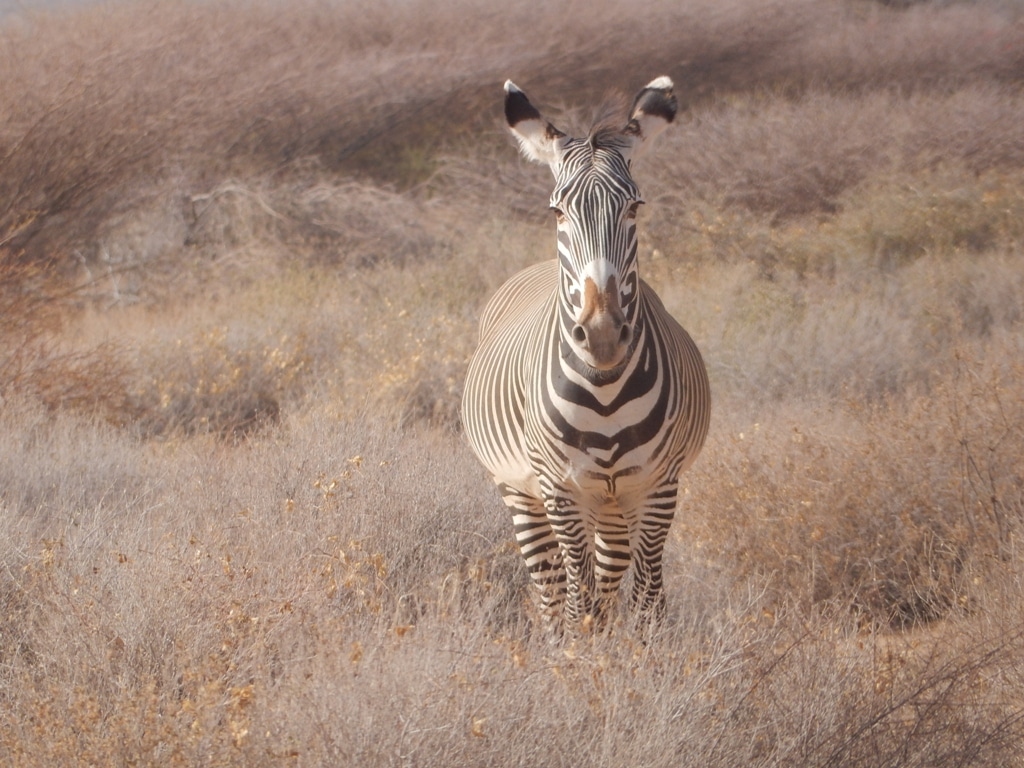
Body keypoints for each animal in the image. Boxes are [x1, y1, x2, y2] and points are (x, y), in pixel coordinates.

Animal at [464, 76, 712, 630]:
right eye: (557, 211)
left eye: (635, 207)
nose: (600, 334)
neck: (604, 389)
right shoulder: (561, 490)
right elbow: (580, 600)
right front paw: (580, 653)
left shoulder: (657, 487)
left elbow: (647, 601)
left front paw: (642, 653)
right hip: (522, 491)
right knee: (552, 589)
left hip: (613, 503)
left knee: (611, 576)